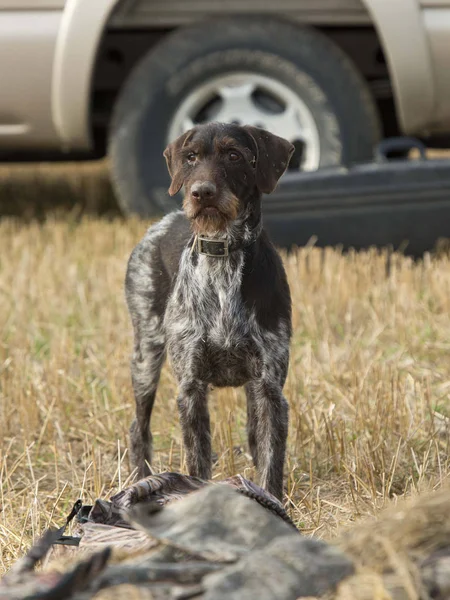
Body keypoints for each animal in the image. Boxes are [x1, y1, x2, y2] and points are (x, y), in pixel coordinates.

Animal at [125, 120, 296, 496]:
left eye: (234, 155)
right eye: (191, 157)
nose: (201, 193)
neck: (223, 257)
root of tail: (164, 222)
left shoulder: (269, 387)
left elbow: (271, 463)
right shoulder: (191, 387)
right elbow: (197, 462)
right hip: (146, 356)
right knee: (138, 428)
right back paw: (139, 477)